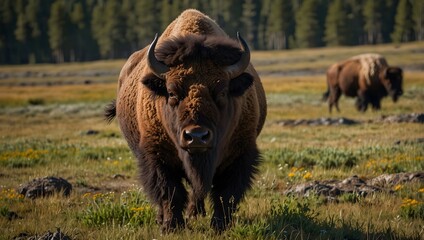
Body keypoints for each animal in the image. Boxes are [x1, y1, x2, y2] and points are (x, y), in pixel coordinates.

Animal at [104, 9, 266, 232]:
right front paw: (171, 226)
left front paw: (220, 225)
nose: (196, 136)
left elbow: (226, 194)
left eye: (223, 91)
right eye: (172, 93)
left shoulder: (239, 155)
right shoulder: (157, 156)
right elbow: (169, 191)